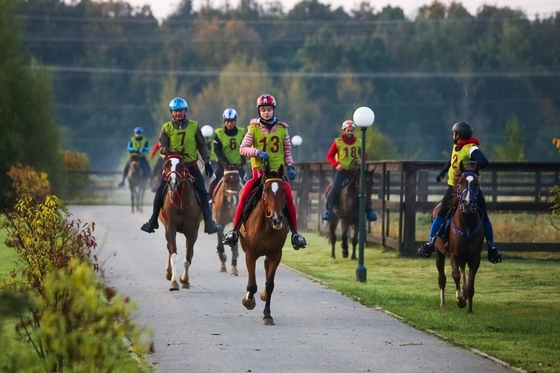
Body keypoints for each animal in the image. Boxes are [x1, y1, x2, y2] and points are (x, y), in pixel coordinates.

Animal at [159, 151, 202, 290]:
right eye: (167, 164)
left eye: (181, 166)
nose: (172, 182)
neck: (181, 201)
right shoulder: (170, 227)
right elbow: (174, 254)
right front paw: (174, 282)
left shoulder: (192, 231)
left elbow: (188, 256)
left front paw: (184, 280)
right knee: (169, 248)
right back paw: (168, 273)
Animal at [237, 161, 286, 324]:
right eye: (265, 190)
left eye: (284, 190)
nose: (277, 219)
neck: (266, 226)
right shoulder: (250, 254)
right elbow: (252, 285)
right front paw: (248, 301)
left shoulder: (276, 254)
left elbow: (270, 285)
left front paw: (267, 315)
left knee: (266, 267)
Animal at [430, 161, 484, 314]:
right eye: (460, 182)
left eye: (477, 183)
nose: (468, 203)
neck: (467, 225)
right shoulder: (454, 254)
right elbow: (455, 275)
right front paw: (460, 300)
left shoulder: (475, 258)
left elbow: (470, 285)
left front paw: (469, 311)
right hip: (439, 254)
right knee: (442, 278)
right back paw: (443, 304)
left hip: (464, 258)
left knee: (463, 274)